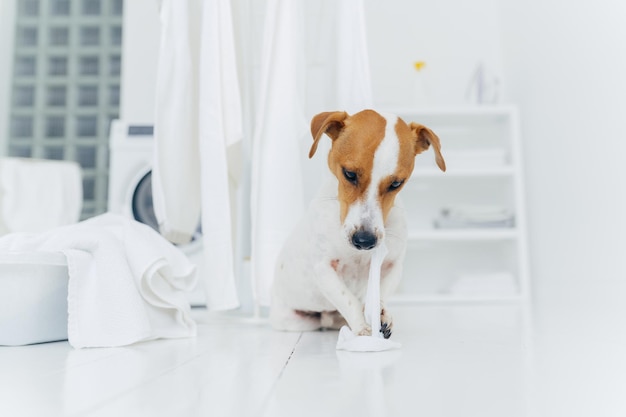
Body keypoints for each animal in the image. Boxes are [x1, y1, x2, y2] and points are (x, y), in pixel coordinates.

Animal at [268, 109, 444, 338]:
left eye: (396, 183)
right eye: (349, 174)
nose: (364, 241)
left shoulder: (393, 266)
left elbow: (380, 293)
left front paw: (381, 314)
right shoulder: (324, 268)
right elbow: (348, 299)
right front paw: (362, 329)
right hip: (295, 321)